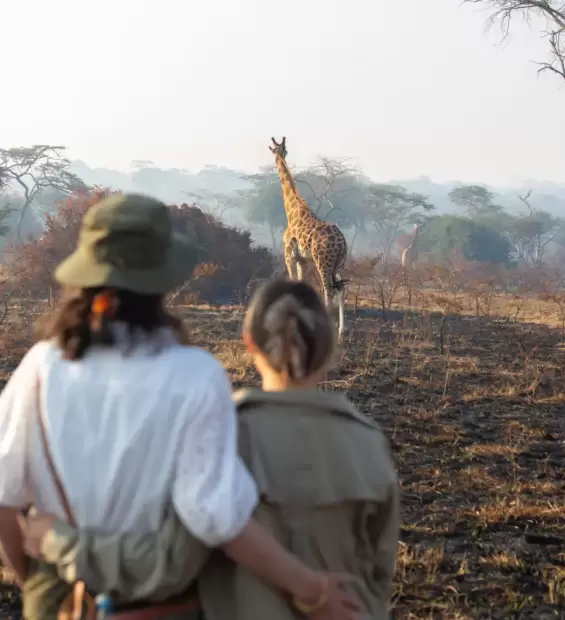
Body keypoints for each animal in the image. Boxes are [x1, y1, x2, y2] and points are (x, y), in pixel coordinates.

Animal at [270, 137, 348, 340]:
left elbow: (292, 282)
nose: (279, 156)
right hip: (339, 263)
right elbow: (301, 284)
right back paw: (341, 332)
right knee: (341, 288)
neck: (293, 211)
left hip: (323, 262)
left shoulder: (290, 256)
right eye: (282, 150)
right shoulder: (304, 260)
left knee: (328, 291)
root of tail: (341, 243)